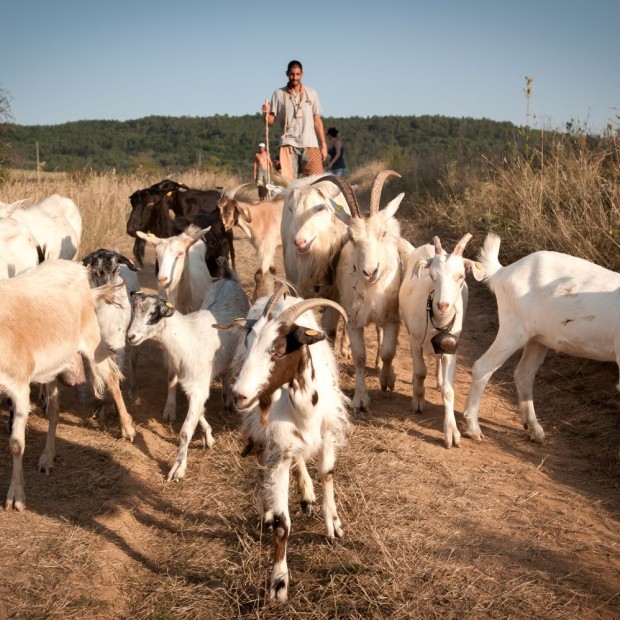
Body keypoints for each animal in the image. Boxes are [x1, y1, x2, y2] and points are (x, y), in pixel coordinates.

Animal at [1, 260, 134, 512]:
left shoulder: (19, 387)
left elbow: (16, 443)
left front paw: (16, 495)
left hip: (92, 342)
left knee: (112, 379)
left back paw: (127, 428)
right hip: (53, 365)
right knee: (54, 409)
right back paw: (47, 457)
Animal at [126, 274, 249, 482]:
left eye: (153, 314)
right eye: (134, 311)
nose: (131, 336)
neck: (186, 339)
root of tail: (228, 279)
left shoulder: (198, 385)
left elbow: (185, 431)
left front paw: (178, 469)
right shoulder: (191, 383)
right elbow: (198, 413)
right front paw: (208, 437)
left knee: (228, 373)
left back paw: (228, 399)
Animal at [219, 288, 352, 604]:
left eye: (278, 351)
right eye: (249, 343)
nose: (239, 395)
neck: (304, 412)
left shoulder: (328, 434)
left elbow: (327, 474)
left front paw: (333, 524)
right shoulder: (279, 448)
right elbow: (282, 524)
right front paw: (279, 583)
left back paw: (307, 497)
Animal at [400, 234, 486, 446]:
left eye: (461, 276)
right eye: (432, 276)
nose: (443, 305)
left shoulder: (451, 346)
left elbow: (449, 390)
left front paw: (452, 432)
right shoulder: (414, 339)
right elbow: (420, 371)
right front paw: (418, 400)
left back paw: (438, 379)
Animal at [462, 230, 620, 444]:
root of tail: (503, 272)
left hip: (538, 338)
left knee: (524, 374)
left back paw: (535, 430)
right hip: (514, 329)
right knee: (483, 366)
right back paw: (473, 428)